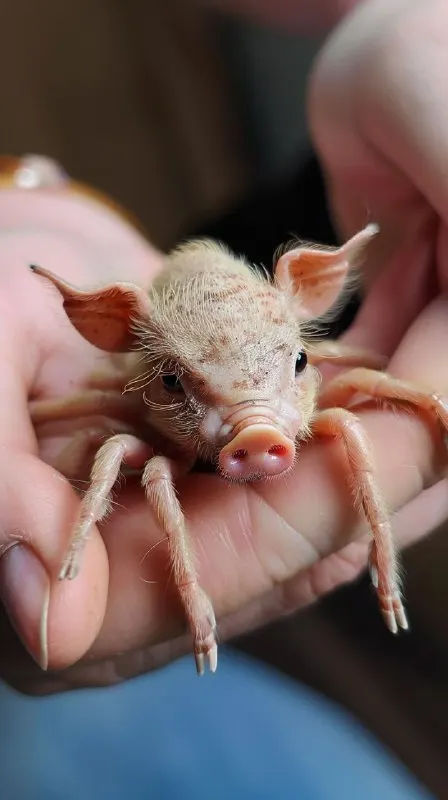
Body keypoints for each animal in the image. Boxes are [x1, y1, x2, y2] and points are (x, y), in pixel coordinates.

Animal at [29, 224, 448, 674]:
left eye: (300, 360)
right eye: (171, 380)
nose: (256, 434)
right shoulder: (148, 449)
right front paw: (205, 658)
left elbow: (362, 406)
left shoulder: (337, 408)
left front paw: (396, 620)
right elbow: (133, 470)